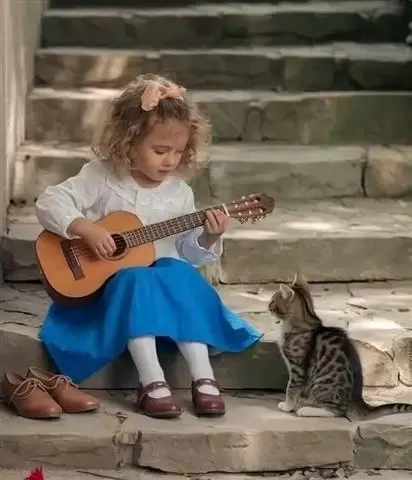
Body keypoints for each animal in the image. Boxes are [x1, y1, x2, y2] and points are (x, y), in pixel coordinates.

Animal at [268, 274, 410, 420]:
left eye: (272, 301)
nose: (268, 306)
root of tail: (358, 400)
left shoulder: (298, 369)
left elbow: (291, 389)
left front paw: (287, 406)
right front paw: (295, 403)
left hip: (323, 386)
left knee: (338, 411)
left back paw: (307, 410)